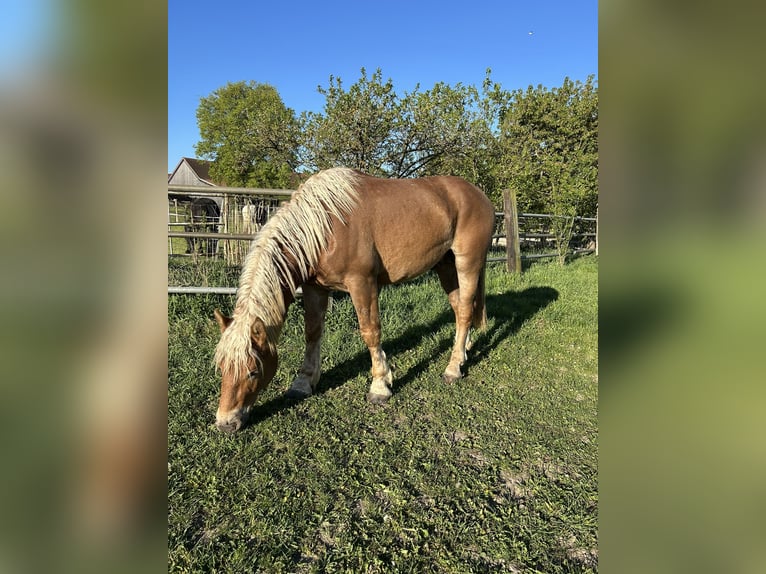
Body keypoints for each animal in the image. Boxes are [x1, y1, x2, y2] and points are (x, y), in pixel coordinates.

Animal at [212, 167, 495, 432]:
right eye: (222, 368)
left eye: (253, 370)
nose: (226, 423)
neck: (326, 226)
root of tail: (478, 194)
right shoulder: (314, 288)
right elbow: (312, 333)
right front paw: (303, 383)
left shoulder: (362, 284)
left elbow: (370, 332)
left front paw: (380, 386)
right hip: (445, 265)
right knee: (459, 309)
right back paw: (463, 350)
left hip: (467, 262)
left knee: (466, 310)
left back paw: (453, 368)